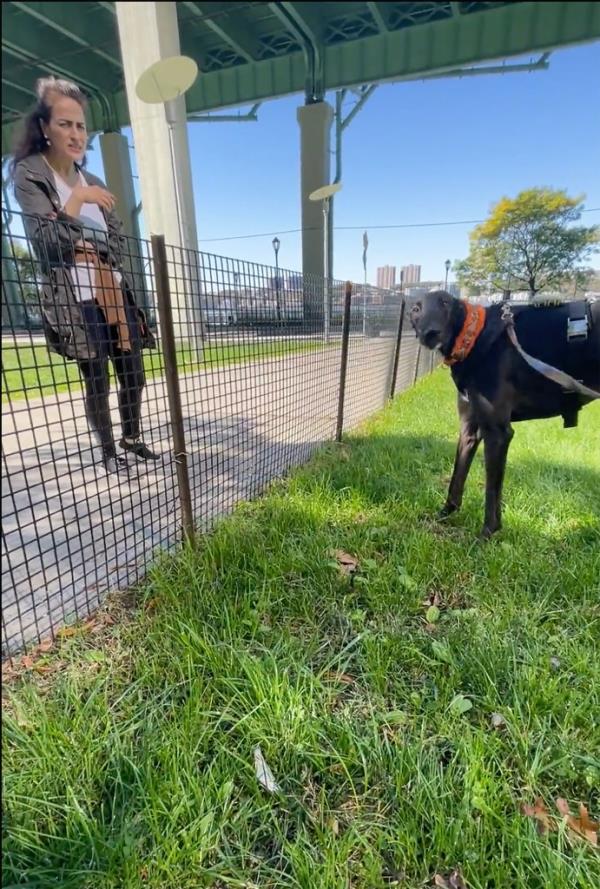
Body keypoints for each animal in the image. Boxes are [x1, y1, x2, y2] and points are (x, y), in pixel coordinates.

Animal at [410, 294, 596, 536]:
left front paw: (487, 534)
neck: (473, 337)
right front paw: (444, 514)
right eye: (415, 309)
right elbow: (456, 480)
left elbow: (492, 492)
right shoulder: (469, 430)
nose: (431, 333)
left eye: (445, 304)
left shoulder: (498, 433)